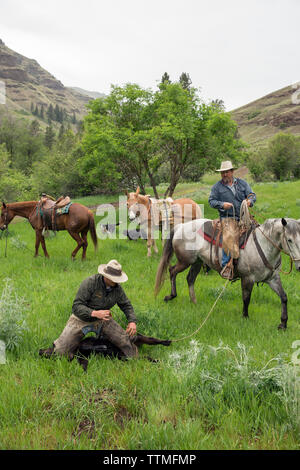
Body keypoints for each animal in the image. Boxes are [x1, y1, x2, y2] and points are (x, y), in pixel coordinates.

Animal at [39, 330, 171, 370]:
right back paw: (159, 359)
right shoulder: (81, 357)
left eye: (51, 347)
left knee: (152, 339)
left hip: (136, 339)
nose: (39, 351)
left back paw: (166, 342)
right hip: (133, 356)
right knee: (147, 356)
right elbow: (84, 362)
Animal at [155, 218, 300, 328]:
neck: (263, 246)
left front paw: (283, 323)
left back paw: (194, 301)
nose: (299, 265)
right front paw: (245, 317)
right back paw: (170, 296)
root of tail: (180, 227)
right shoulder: (248, 278)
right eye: (289, 240)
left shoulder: (273, 278)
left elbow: (284, 297)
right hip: (185, 261)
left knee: (190, 278)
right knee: (172, 271)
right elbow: (246, 298)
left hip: (197, 262)